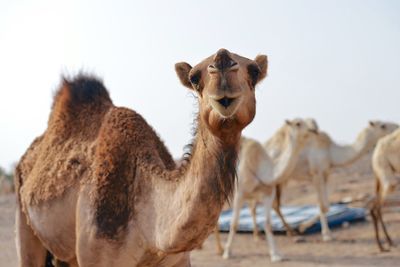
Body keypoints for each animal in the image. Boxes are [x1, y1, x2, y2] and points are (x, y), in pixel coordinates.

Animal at [14, 48, 268, 267]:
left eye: (254, 71)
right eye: (195, 77)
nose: (223, 62)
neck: (151, 232)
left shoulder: (177, 260)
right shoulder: (96, 255)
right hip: (25, 220)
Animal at [220, 120, 314, 264]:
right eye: (298, 123)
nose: (314, 130)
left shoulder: (268, 195)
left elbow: (268, 224)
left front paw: (276, 254)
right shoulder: (240, 194)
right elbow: (234, 223)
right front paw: (227, 252)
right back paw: (220, 249)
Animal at [270, 120, 398, 242]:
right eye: (383, 125)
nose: (397, 126)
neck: (330, 152)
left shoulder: (326, 173)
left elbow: (326, 206)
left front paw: (305, 227)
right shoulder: (316, 173)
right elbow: (322, 205)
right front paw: (325, 235)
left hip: (281, 180)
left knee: (276, 205)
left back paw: (289, 231)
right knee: (275, 204)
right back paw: (288, 231)